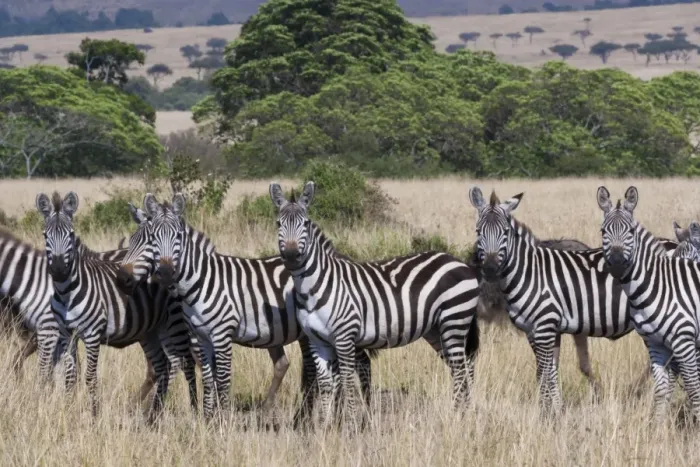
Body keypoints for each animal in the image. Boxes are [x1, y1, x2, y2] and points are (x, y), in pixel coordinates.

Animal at [36, 191, 196, 420]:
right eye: (45, 235)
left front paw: (94, 414)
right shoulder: (67, 334)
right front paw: (67, 410)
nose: (58, 270)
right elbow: (70, 376)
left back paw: (192, 409)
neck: (67, 292)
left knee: (186, 363)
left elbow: (90, 376)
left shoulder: (92, 334)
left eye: (71, 235)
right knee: (164, 365)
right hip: (152, 330)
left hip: (175, 323)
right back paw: (153, 414)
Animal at [115, 192, 378, 423]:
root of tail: (342, 258)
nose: (123, 279)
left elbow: (209, 375)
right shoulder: (198, 335)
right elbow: (206, 375)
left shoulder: (204, 334)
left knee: (351, 364)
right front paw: (208, 416)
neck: (202, 278)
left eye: (147, 242)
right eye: (137, 241)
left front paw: (213, 416)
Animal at [269, 181, 480, 428]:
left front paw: (350, 425)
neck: (314, 288)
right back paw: (465, 412)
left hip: (454, 321)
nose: (292, 256)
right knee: (462, 366)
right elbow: (326, 384)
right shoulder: (316, 341)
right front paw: (324, 427)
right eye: (278, 224)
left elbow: (348, 381)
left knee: (460, 369)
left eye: (305, 224)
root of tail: (458, 261)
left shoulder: (345, 337)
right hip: (436, 329)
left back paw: (456, 415)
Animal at [597, 186, 700, 422]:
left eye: (631, 232)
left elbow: (694, 389)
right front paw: (660, 427)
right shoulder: (655, 344)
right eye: (603, 232)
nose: (617, 265)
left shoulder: (684, 341)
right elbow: (661, 390)